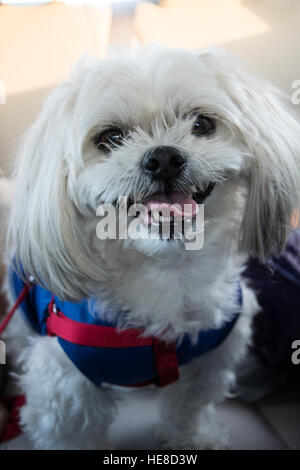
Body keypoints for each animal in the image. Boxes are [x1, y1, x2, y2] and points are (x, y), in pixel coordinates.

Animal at [2, 45, 300, 452]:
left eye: (202, 124)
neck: (167, 269)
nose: (163, 158)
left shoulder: (211, 356)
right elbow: (72, 431)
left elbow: (188, 407)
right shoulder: (66, 384)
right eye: (110, 137)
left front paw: (192, 439)